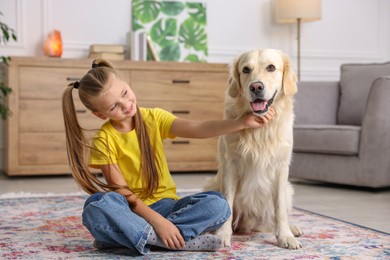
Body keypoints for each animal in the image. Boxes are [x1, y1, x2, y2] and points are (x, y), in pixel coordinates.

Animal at [206, 48, 304, 250]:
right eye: (246, 69)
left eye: (271, 67)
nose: (256, 87)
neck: (261, 129)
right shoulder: (231, 166)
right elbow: (227, 202)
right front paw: (222, 235)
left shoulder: (281, 168)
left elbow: (279, 208)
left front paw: (285, 236)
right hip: (211, 184)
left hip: (288, 189)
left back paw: (292, 228)